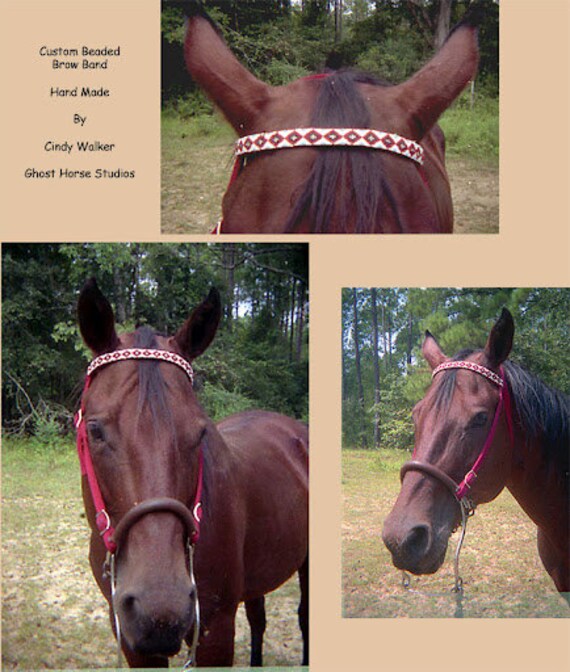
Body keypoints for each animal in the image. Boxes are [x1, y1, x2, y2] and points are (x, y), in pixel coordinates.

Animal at [75, 278, 309, 668]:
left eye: (200, 432)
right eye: (95, 430)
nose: (160, 610)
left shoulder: (215, 630)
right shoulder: (131, 637)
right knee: (258, 618)